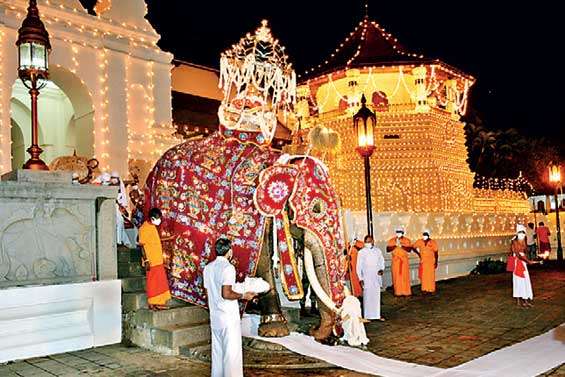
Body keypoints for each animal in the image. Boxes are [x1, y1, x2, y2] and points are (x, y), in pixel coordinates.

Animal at [143, 19, 346, 340]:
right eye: (315, 210)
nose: (325, 334)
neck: (279, 159)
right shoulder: (250, 211)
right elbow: (261, 261)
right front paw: (275, 328)